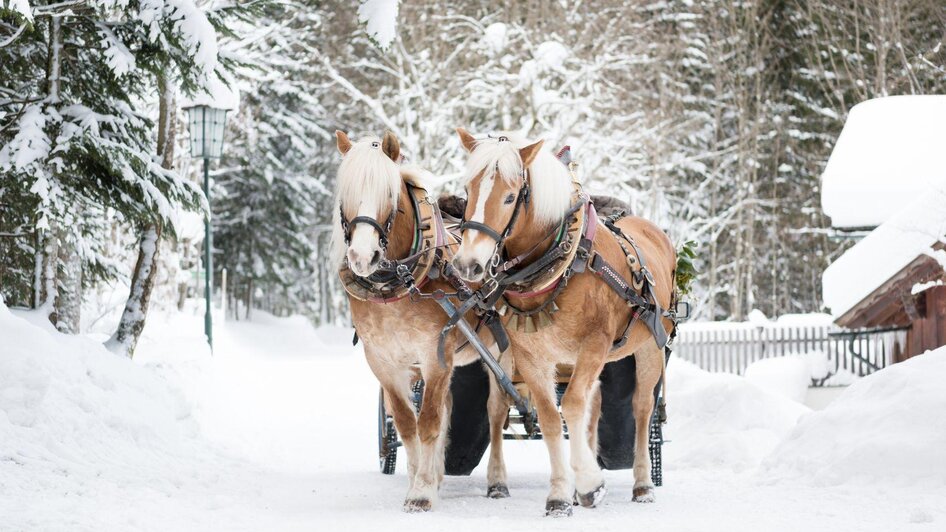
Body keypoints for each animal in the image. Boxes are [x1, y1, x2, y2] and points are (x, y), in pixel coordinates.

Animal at [448, 128, 672, 516]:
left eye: (510, 196)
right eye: (467, 189)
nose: (468, 265)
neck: (560, 264)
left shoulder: (595, 344)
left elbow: (571, 406)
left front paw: (589, 482)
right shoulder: (532, 356)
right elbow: (553, 417)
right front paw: (559, 495)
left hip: (651, 347)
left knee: (642, 409)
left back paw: (643, 484)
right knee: (591, 408)